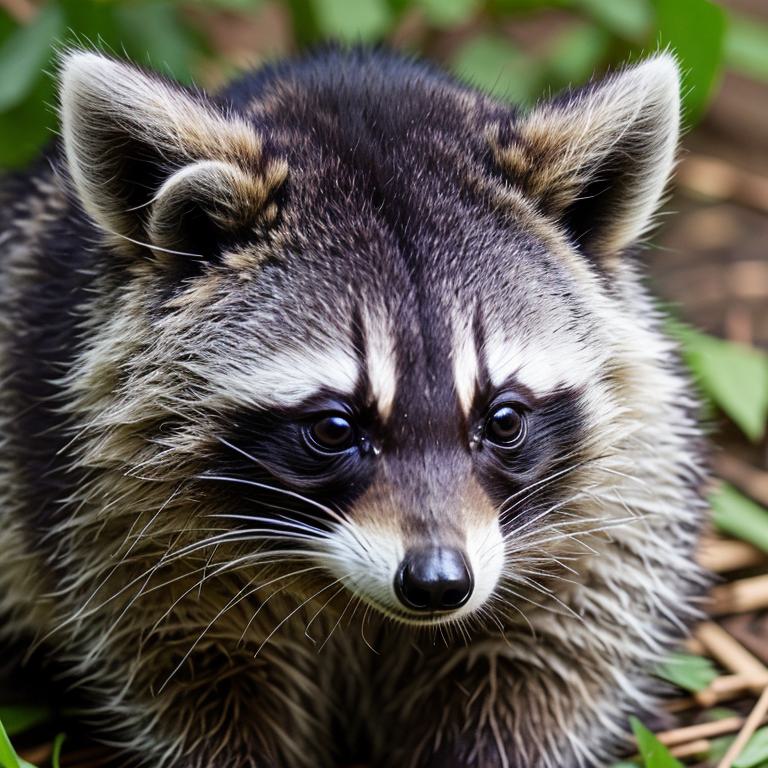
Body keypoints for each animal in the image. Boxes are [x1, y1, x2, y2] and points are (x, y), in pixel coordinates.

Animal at [0, 47, 708, 768]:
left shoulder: (620, 493)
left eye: (503, 420)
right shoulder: (115, 527)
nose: (437, 583)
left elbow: (552, 662)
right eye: (335, 428)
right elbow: (185, 673)